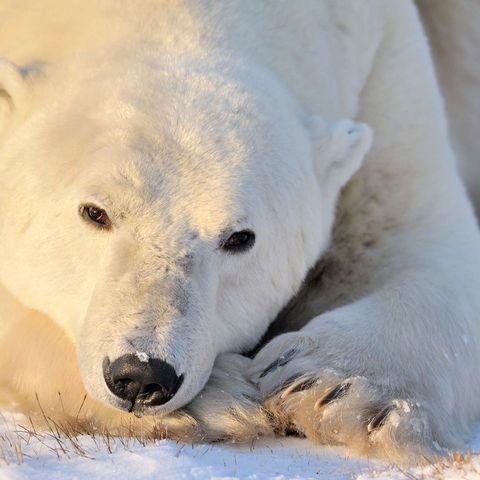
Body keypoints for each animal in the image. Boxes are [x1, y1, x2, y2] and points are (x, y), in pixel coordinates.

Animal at [0, 0, 480, 464]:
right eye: (94, 212)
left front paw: (333, 388)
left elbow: (416, 234)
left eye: (239, 238)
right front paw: (222, 398)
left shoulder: (381, 61)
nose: (141, 374)